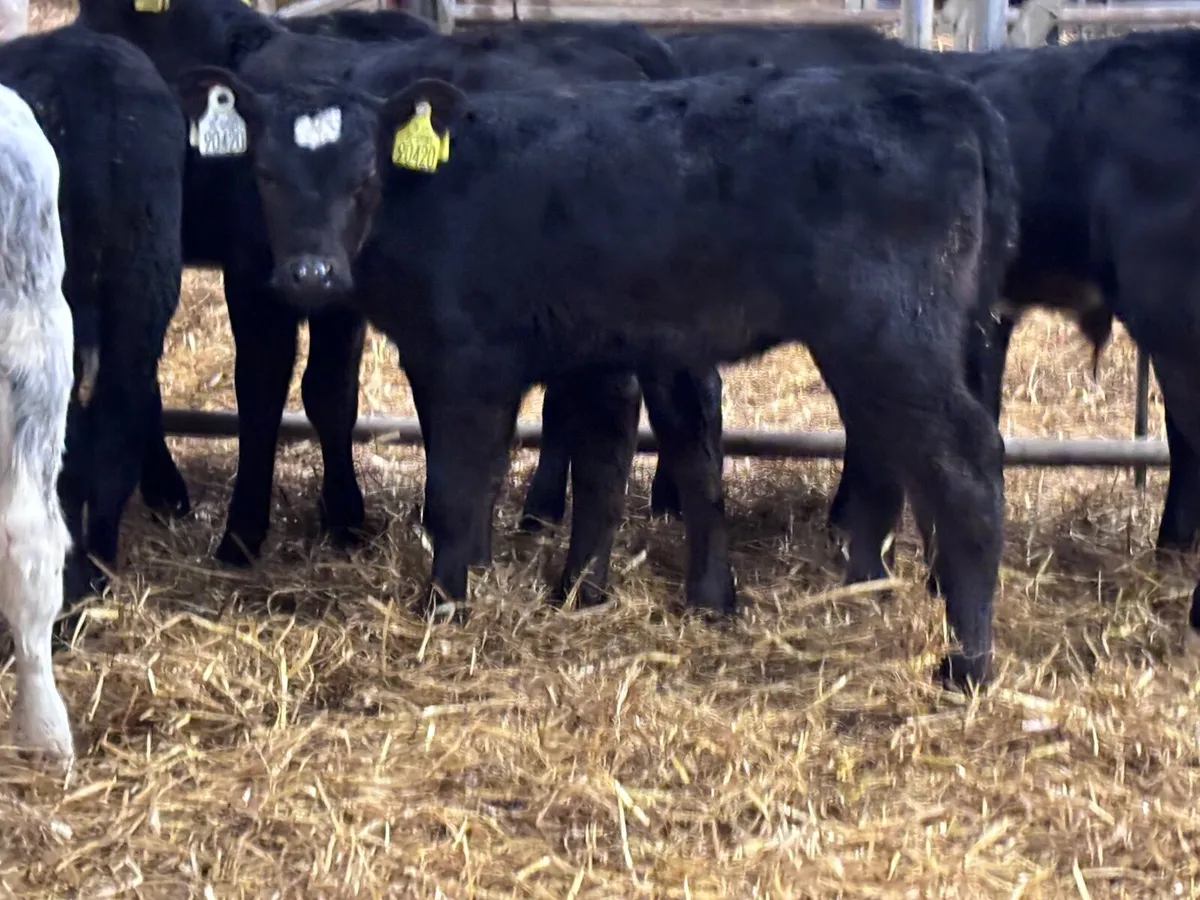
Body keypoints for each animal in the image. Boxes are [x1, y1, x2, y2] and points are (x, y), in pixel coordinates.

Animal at [166, 57, 1019, 689]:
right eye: (265, 176)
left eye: (364, 179)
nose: (310, 275)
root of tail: (949, 96)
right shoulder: (578, 351)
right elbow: (586, 469)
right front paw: (561, 588)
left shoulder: (470, 359)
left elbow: (456, 487)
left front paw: (444, 604)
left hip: (887, 335)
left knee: (966, 461)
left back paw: (966, 665)